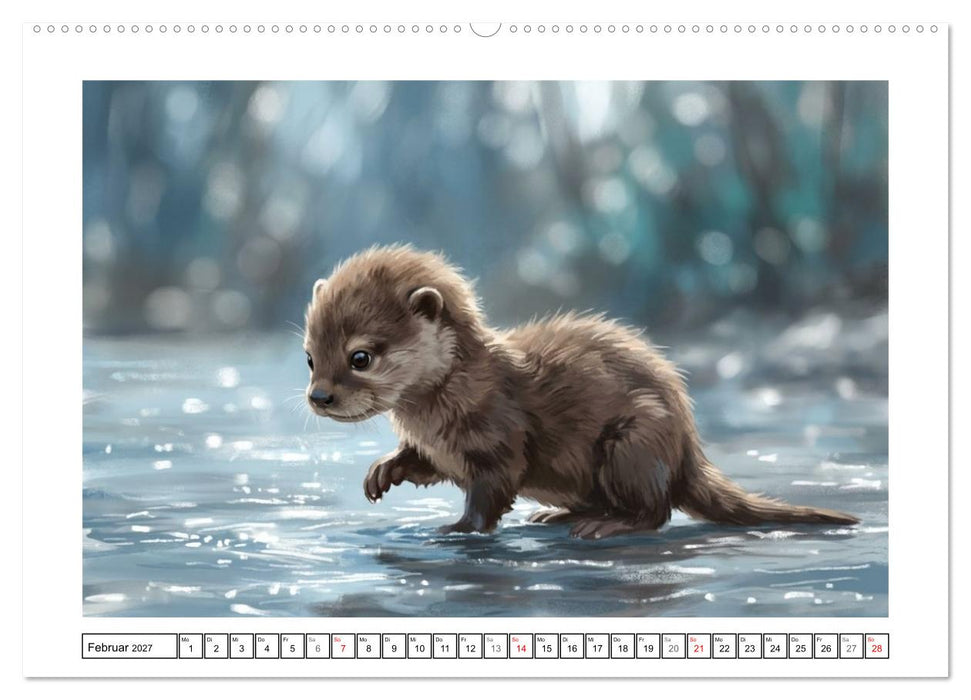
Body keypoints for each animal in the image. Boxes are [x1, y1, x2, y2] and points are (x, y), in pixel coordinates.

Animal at [303, 245, 858, 539]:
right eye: (310, 356)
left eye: (360, 357)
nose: (319, 397)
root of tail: (688, 447)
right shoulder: (439, 449)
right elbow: (422, 464)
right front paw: (384, 471)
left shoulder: (499, 438)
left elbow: (492, 490)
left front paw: (457, 529)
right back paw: (560, 513)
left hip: (633, 443)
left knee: (657, 511)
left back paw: (604, 524)